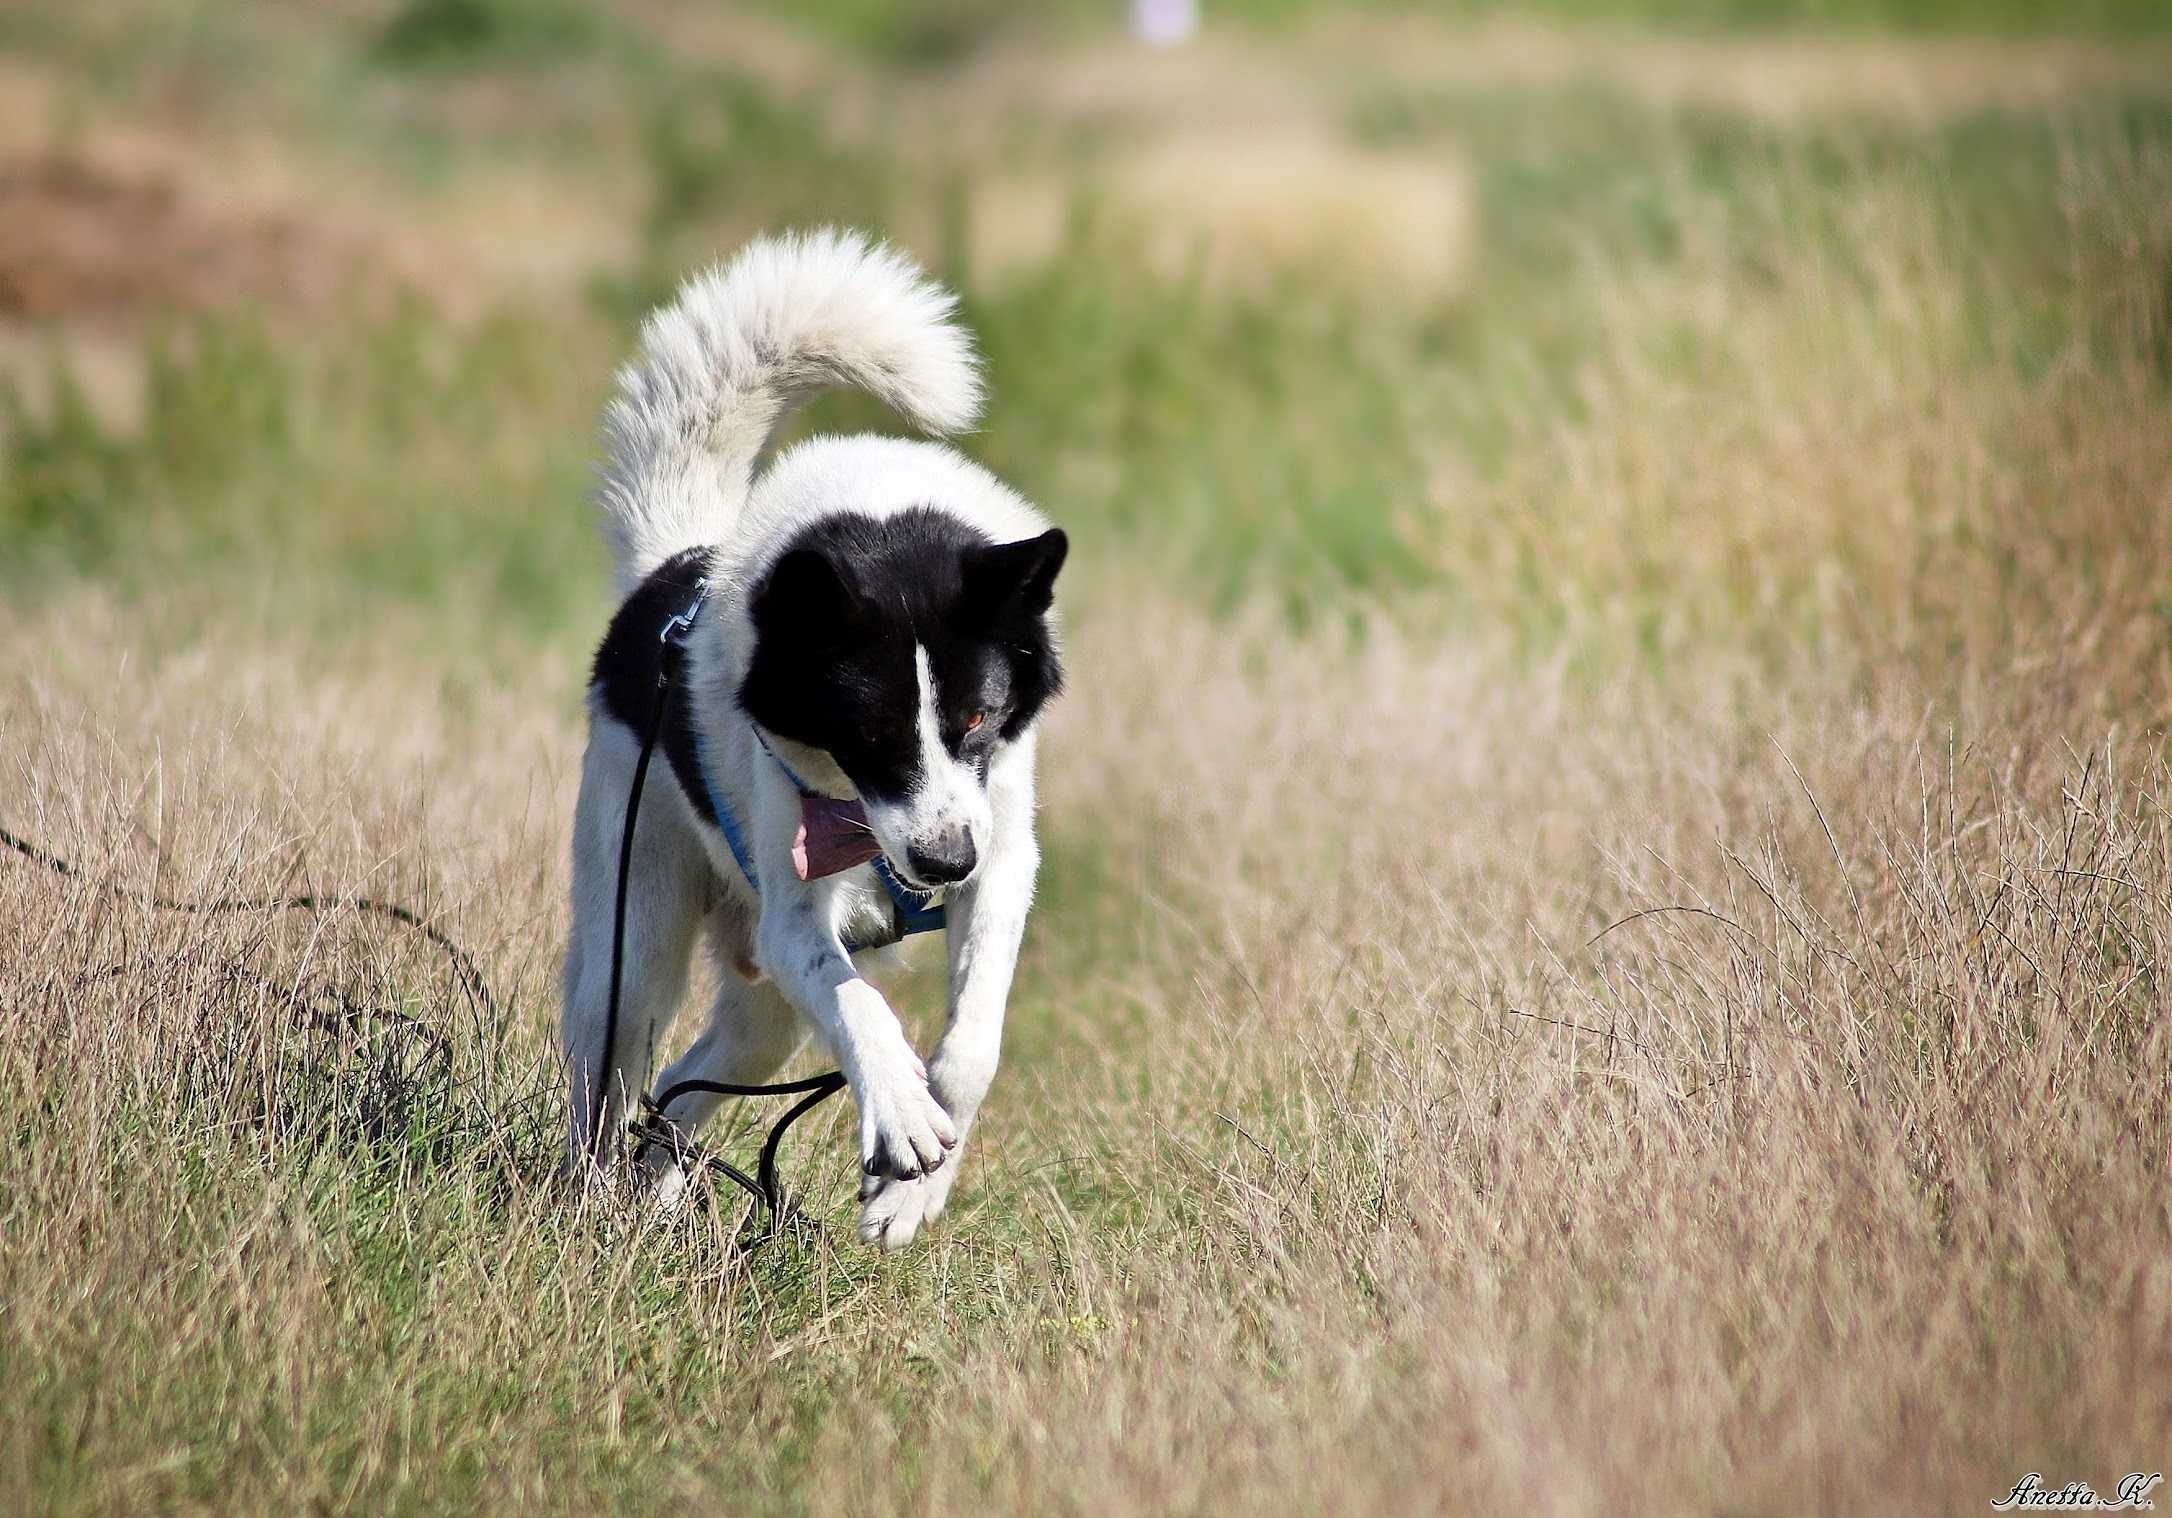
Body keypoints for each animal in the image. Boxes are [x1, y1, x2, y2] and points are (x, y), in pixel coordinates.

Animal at [560, 225, 1068, 1250]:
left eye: (979, 719)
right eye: (867, 730)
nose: (942, 864)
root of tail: (671, 564)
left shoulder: (1001, 859)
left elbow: (975, 1042)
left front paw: (911, 1188)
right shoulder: (799, 915)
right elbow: (859, 1005)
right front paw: (903, 1120)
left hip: (761, 1021)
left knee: (679, 1093)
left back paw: (656, 1202)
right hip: (636, 949)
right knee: (610, 1084)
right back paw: (582, 1213)